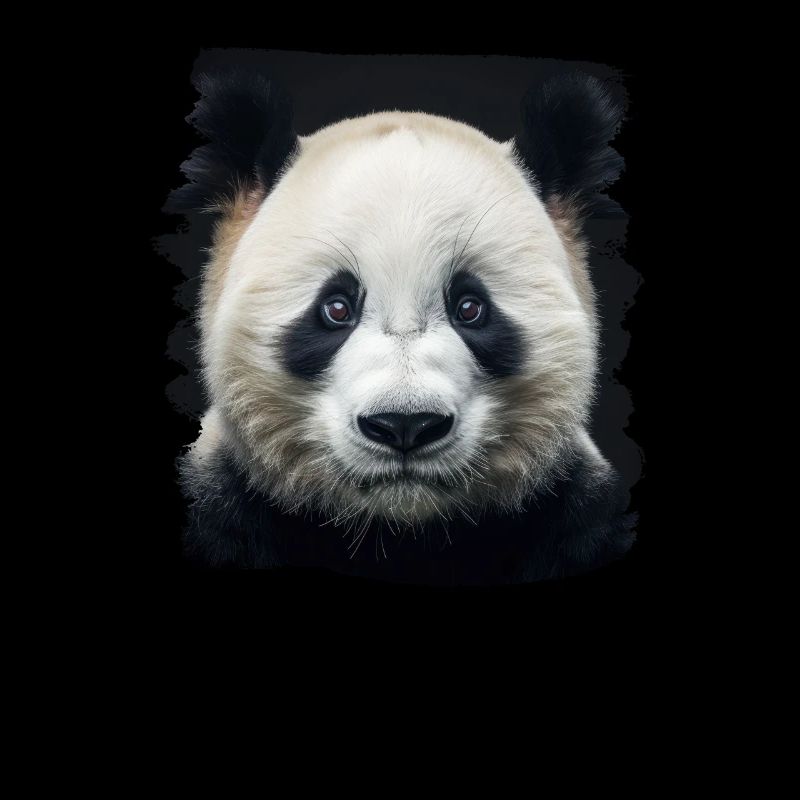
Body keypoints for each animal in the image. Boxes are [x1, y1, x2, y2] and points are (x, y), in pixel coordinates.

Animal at [168, 67, 636, 584]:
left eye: (470, 308)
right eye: (336, 308)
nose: (406, 424)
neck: (400, 533)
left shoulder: (574, 512)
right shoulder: (223, 503)